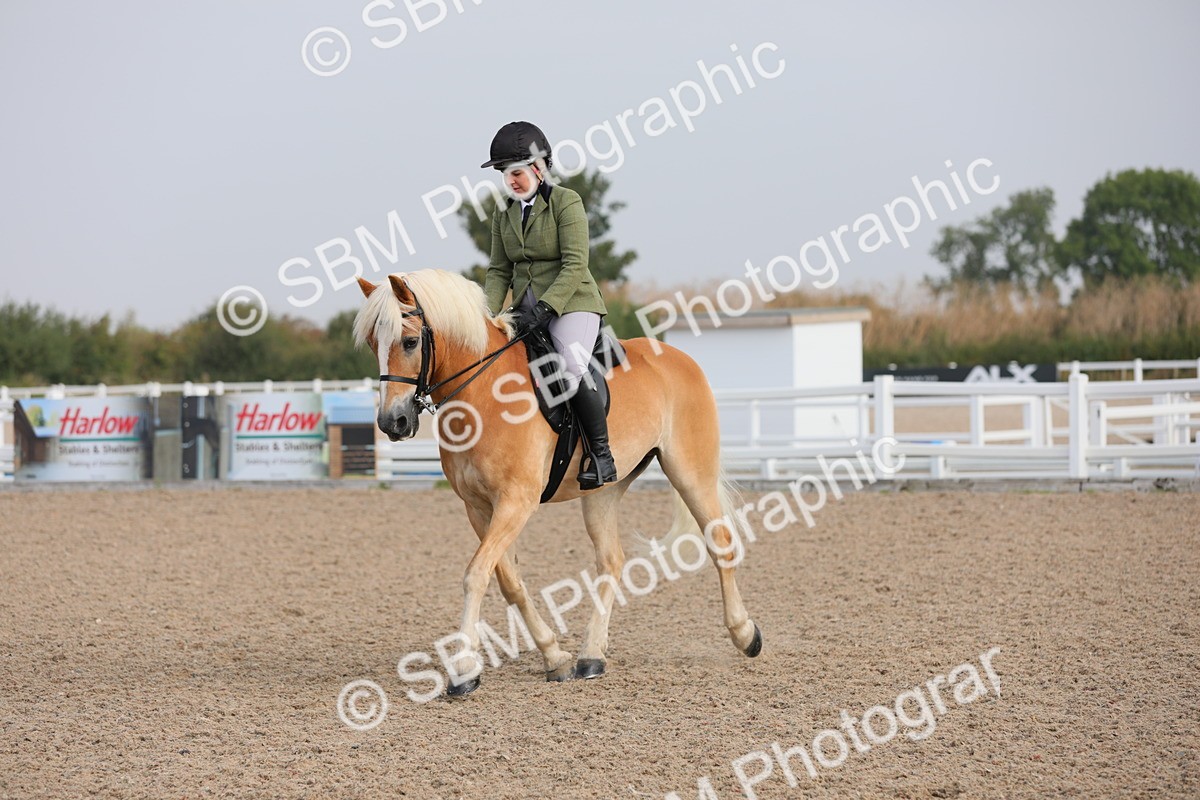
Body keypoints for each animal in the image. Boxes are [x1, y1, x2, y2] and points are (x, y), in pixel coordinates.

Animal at [353, 269, 761, 696]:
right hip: (603, 491)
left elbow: (476, 574)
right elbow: (509, 582)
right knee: (611, 560)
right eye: (374, 344)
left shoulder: (516, 501)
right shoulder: (478, 507)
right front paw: (554, 657)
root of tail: (680, 359)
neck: (483, 394)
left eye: (410, 341)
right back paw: (591, 655)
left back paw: (745, 634)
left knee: (720, 542)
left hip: (690, 472)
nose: (392, 422)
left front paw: (464, 669)